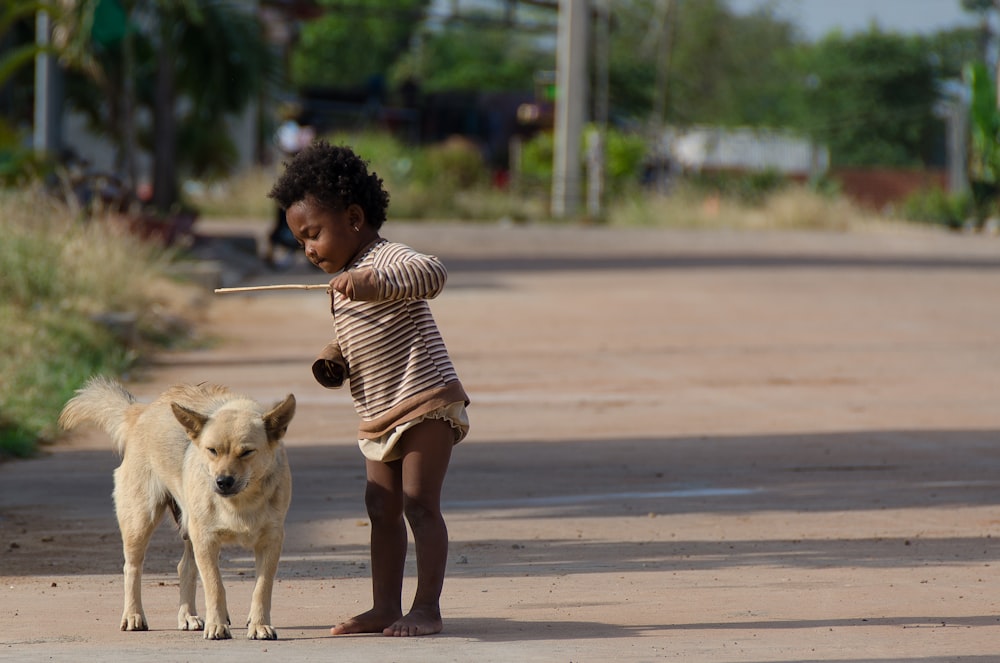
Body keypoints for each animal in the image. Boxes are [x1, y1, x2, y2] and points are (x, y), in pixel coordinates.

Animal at [58, 378, 294, 644]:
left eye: (246, 452)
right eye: (212, 450)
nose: (223, 482)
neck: (240, 502)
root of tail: (141, 411)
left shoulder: (270, 541)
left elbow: (261, 588)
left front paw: (259, 624)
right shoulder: (206, 539)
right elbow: (215, 586)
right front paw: (217, 625)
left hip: (189, 531)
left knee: (185, 567)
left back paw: (188, 616)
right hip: (141, 522)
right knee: (132, 568)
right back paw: (133, 615)